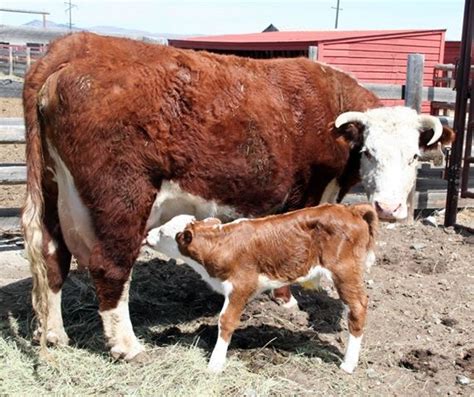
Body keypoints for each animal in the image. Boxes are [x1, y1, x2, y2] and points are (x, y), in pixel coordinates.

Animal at [148, 203, 378, 372]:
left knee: (358, 307)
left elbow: (226, 321)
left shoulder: (241, 285)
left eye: (163, 232)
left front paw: (215, 364)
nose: (148, 235)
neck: (220, 245)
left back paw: (348, 364)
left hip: (344, 271)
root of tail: (351, 209)